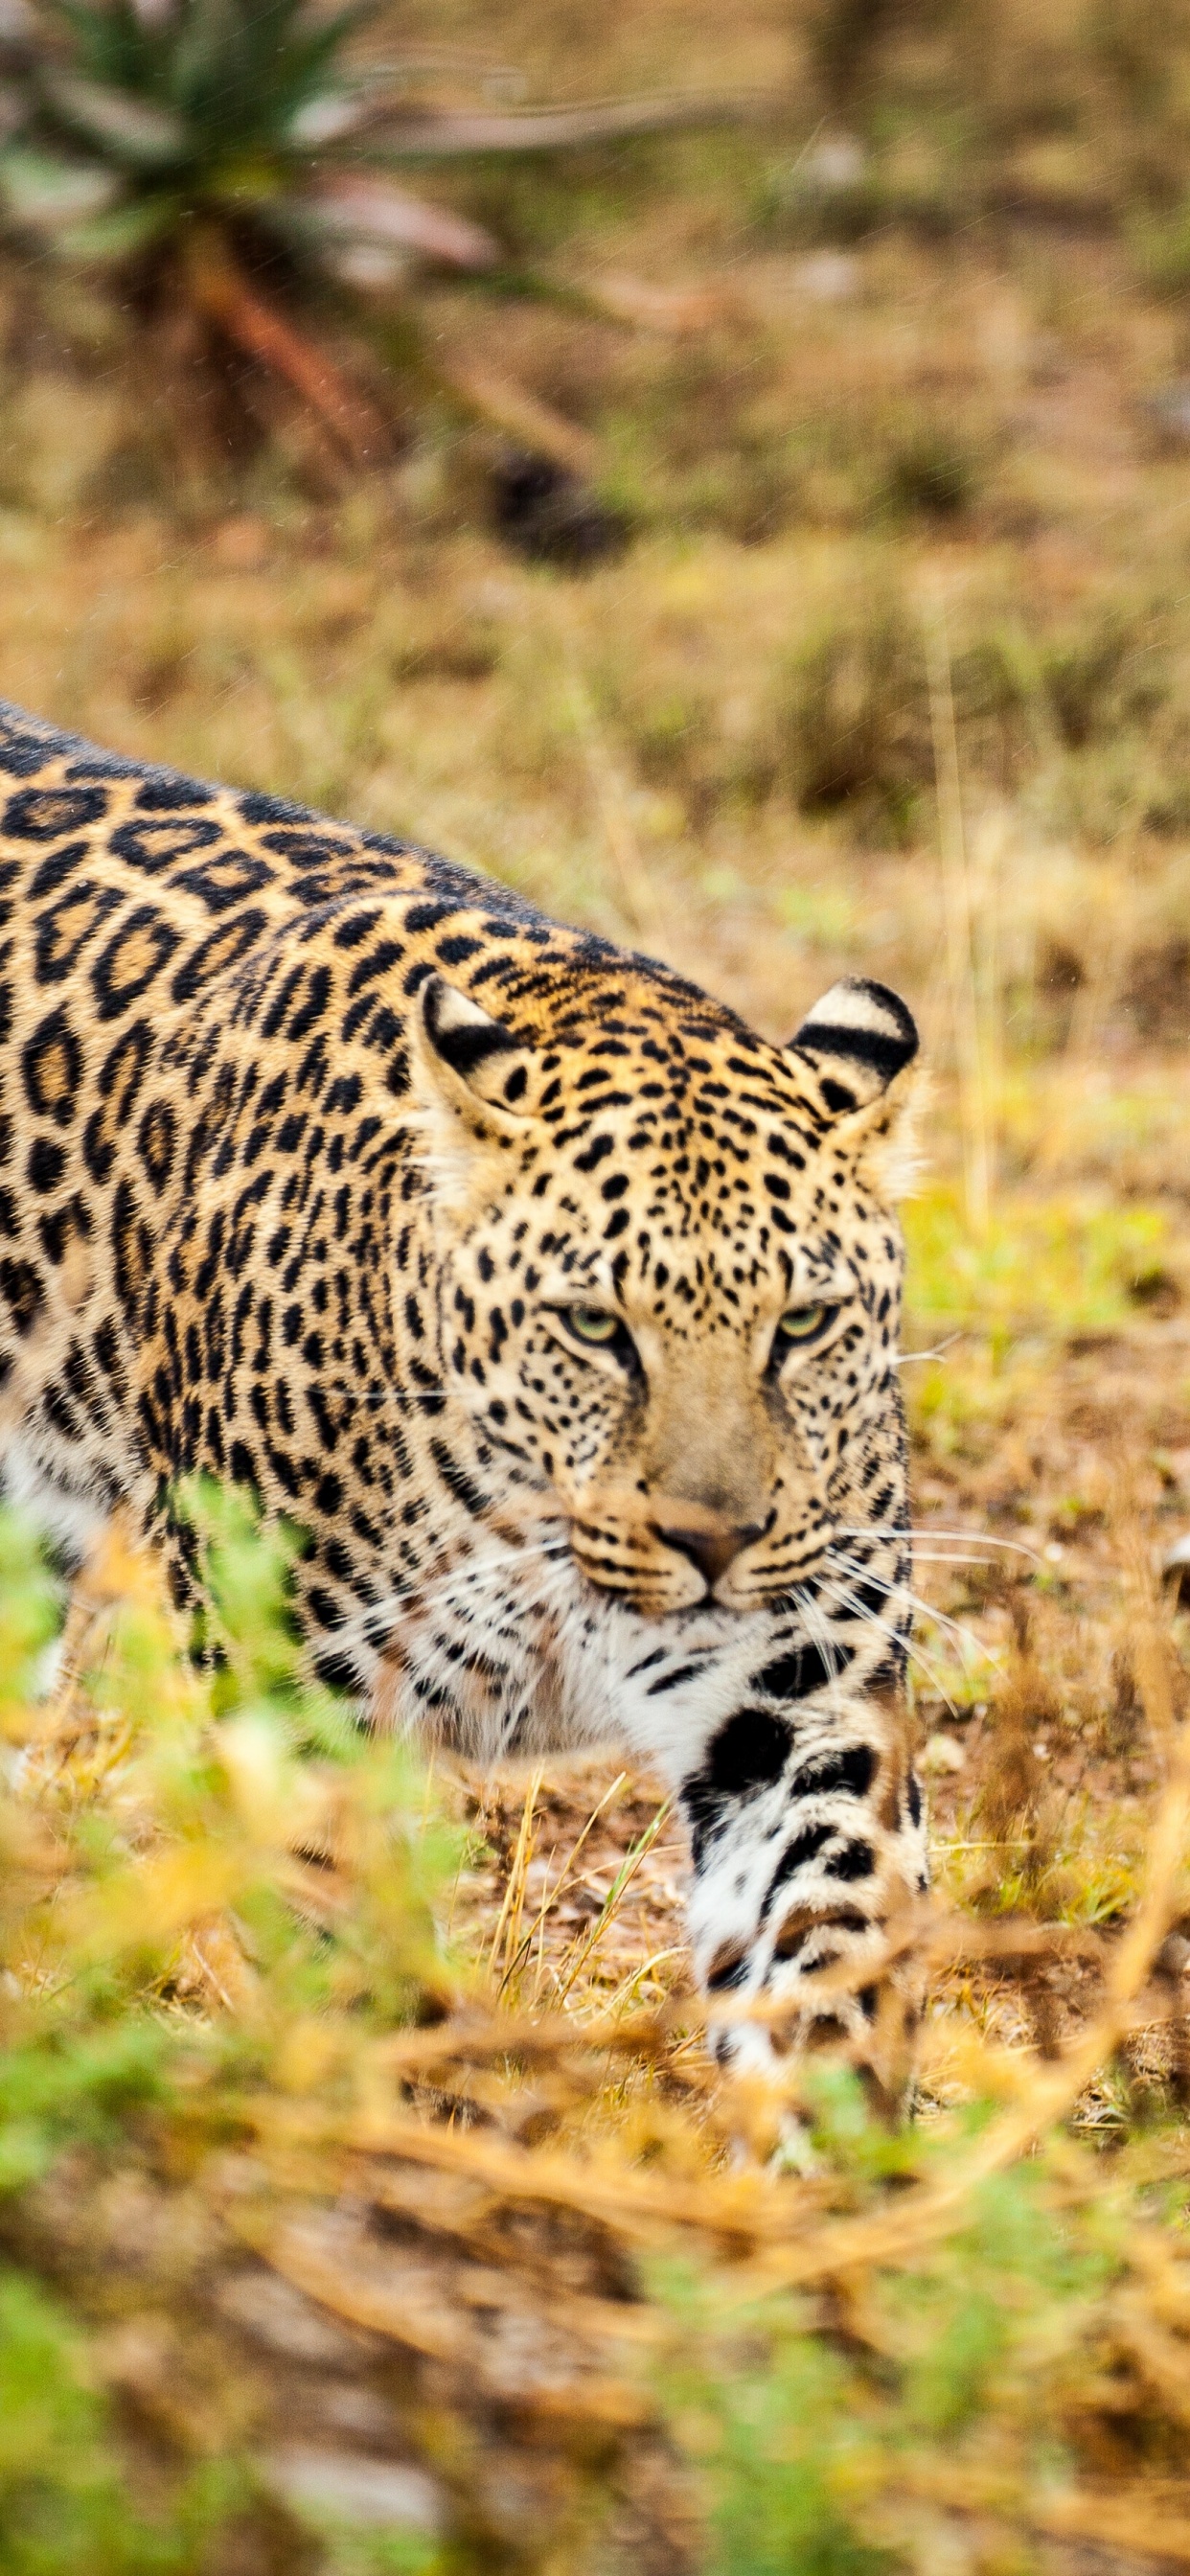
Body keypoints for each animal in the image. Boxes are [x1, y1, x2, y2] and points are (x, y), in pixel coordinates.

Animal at [0, 695, 929, 2095]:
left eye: (803, 1323)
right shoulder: (288, 1693)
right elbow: (344, 1952)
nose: (713, 1543)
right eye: (596, 1328)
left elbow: (825, 1936)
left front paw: (831, 2132)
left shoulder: (799, 1695)